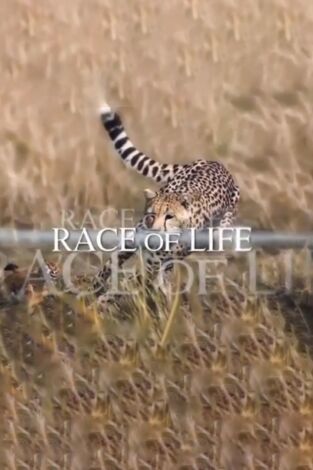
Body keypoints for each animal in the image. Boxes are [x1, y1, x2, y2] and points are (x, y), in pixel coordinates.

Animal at [92, 104, 239, 298]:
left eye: (170, 217)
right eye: (152, 215)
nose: (155, 232)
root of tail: (215, 163)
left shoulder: (155, 264)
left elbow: (134, 281)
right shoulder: (134, 242)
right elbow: (114, 262)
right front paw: (95, 288)